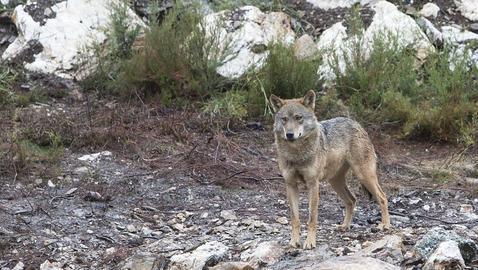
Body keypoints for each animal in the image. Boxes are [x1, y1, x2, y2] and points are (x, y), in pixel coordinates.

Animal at [270, 90, 390, 249]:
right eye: (284, 119)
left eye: (298, 118)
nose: (289, 135)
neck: (296, 154)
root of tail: (356, 123)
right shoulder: (291, 185)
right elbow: (295, 219)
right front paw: (294, 241)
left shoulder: (313, 184)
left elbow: (312, 218)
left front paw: (310, 242)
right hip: (335, 182)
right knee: (352, 200)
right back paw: (345, 226)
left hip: (364, 176)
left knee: (382, 197)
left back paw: (385, 225)